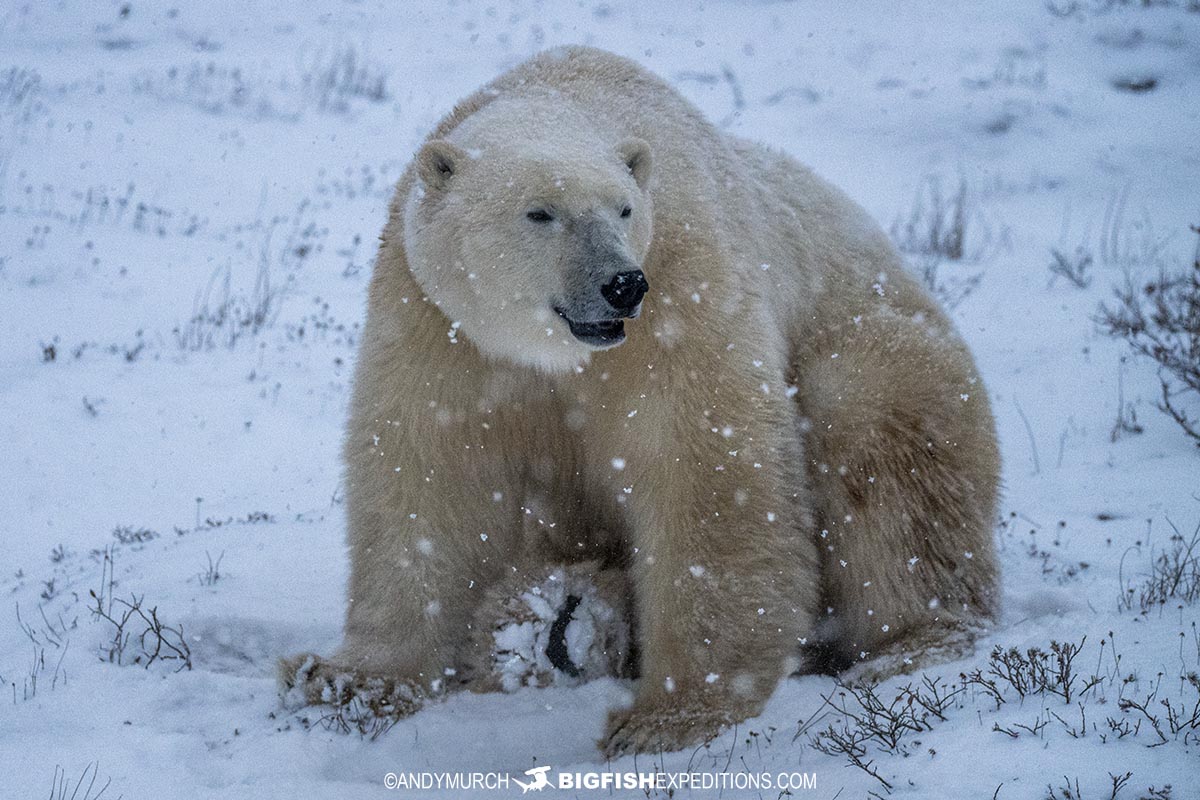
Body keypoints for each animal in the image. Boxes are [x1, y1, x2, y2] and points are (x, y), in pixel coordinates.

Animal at [280, 45, 1000, 757]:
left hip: (874, 338)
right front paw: (349, 683)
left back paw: (911, 642)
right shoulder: (440, 323)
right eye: (539, 212)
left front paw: (668, 717)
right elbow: (431, 477)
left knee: (884, 457)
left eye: (623, 208)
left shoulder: (682, 291)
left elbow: (704, 468)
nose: (621, 284)